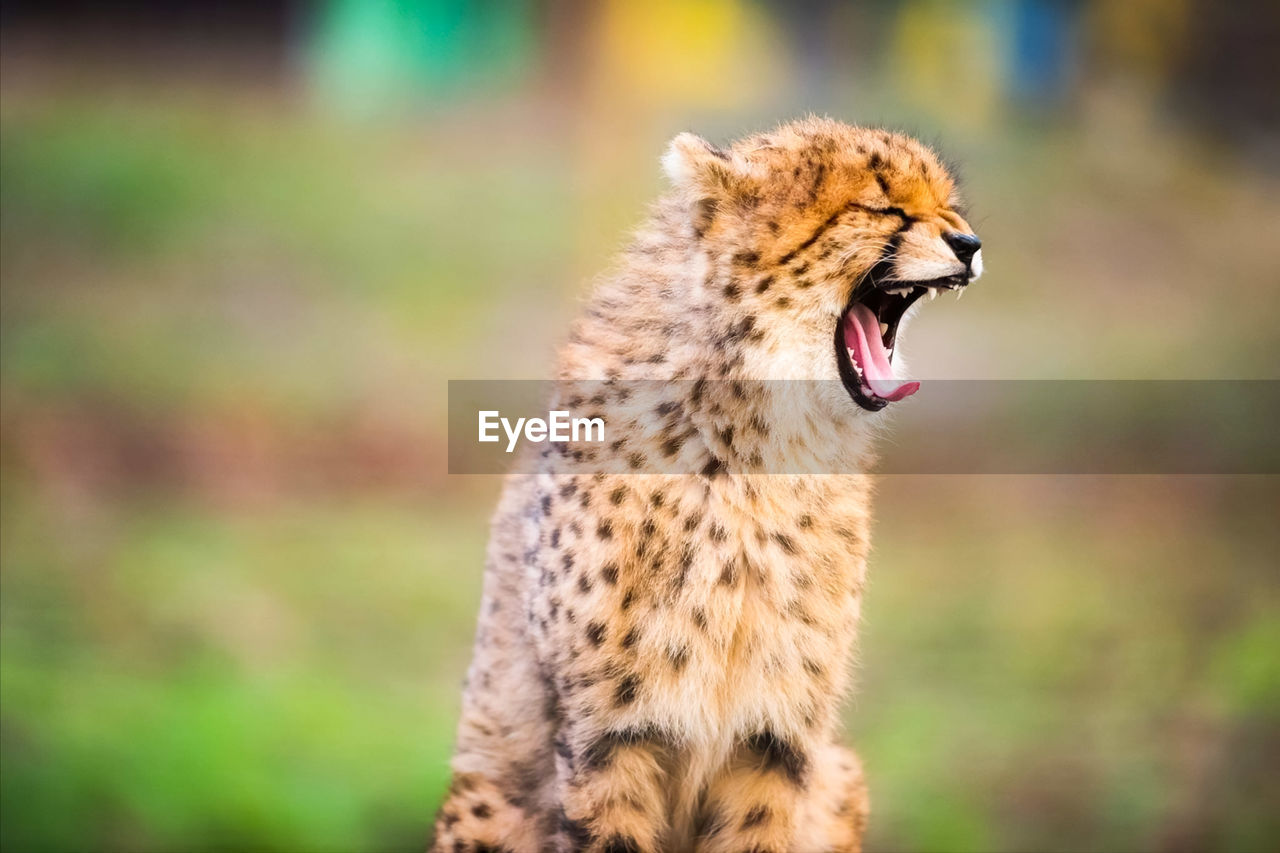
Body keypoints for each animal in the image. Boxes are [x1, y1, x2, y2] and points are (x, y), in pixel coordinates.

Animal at [435, 116, 983, 845]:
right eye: (882, 206)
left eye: (950, 206)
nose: (970, 243)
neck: (752, 448)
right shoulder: (606, 735)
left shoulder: (776, 739)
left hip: (839, 775)